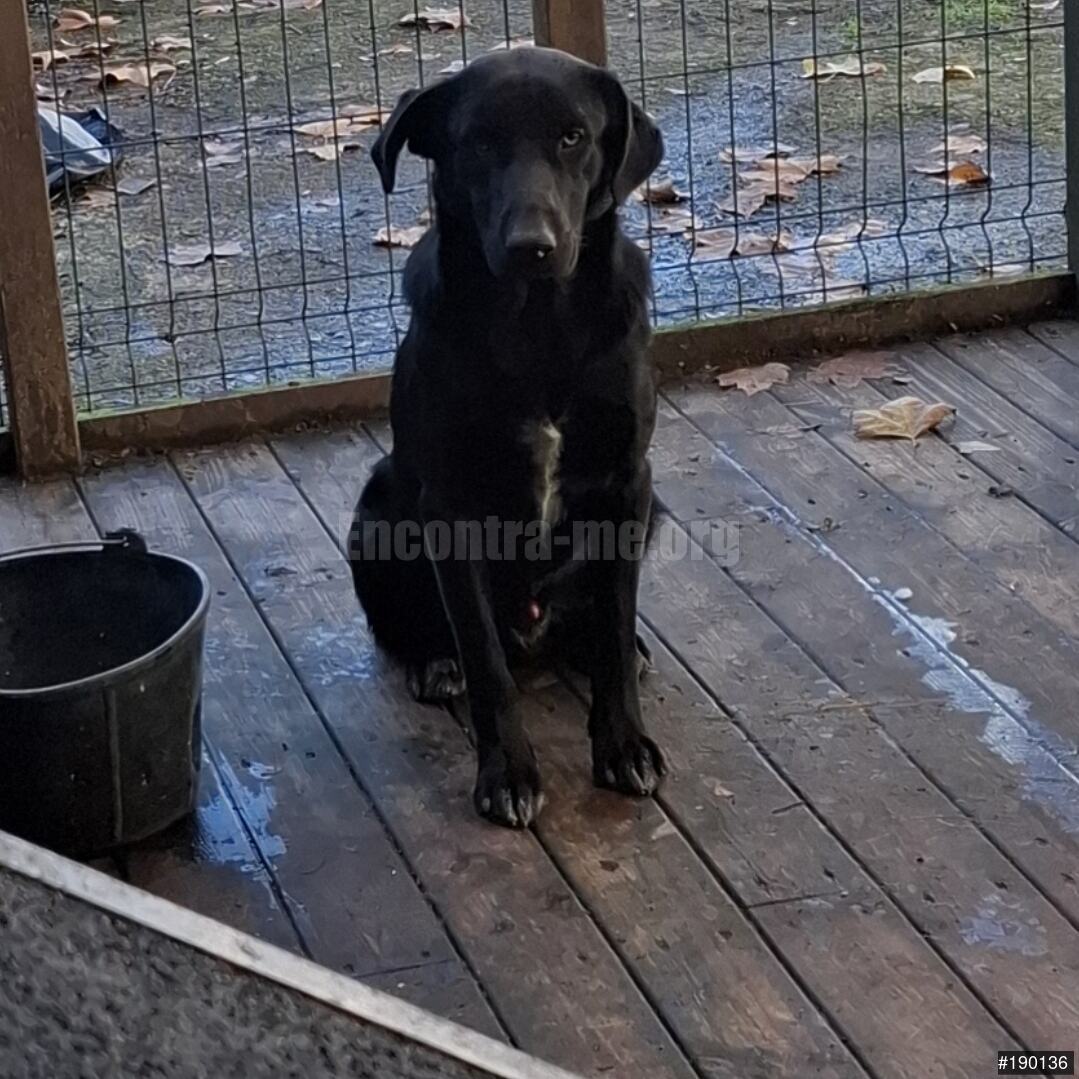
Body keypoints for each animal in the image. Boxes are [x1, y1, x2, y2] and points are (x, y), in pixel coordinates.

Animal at [350, 46, 667, 828]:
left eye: (573, 137)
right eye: (479, 143)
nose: (532, 247)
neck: (536, 326)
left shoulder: (628, 481)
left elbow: (614, 627)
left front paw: (623, 743)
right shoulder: (448, 507)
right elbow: (487, 664)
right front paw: (507, 774)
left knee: (597, 617)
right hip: (375, 509)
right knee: (422, 628)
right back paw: (435, 661)